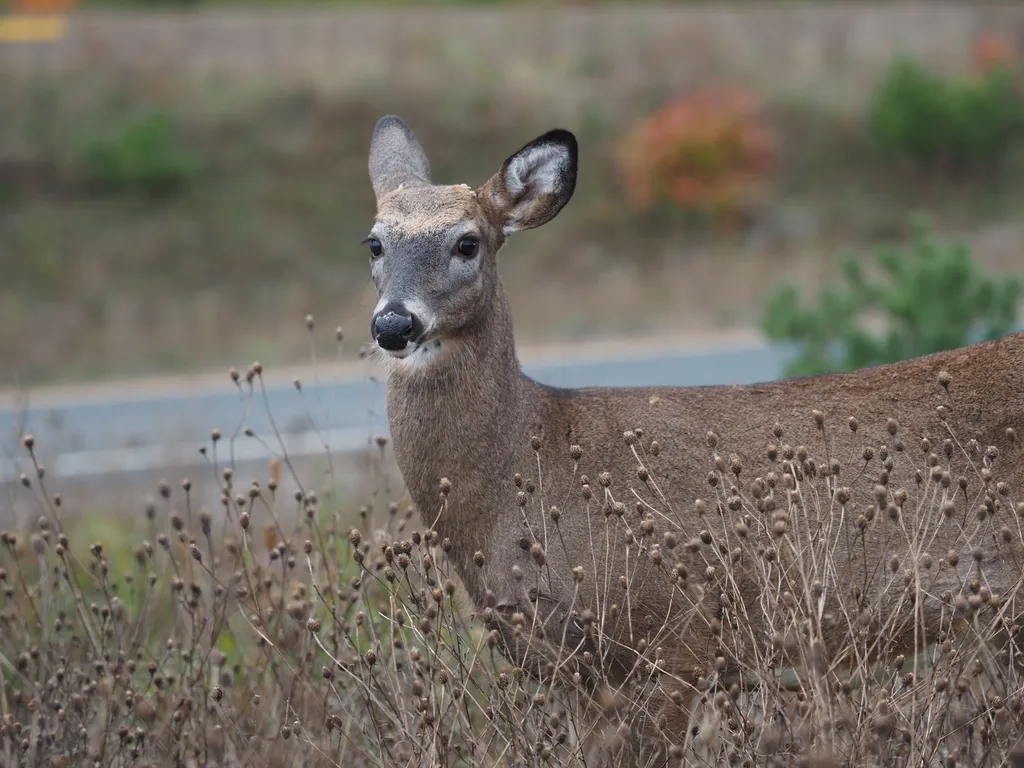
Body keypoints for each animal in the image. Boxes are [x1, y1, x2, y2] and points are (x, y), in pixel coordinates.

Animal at [366, 115, 1024, 768]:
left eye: (467, 242)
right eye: (374, 243)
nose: (393, 323)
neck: (527, 465)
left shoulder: (678, 634)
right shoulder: (574, 672)